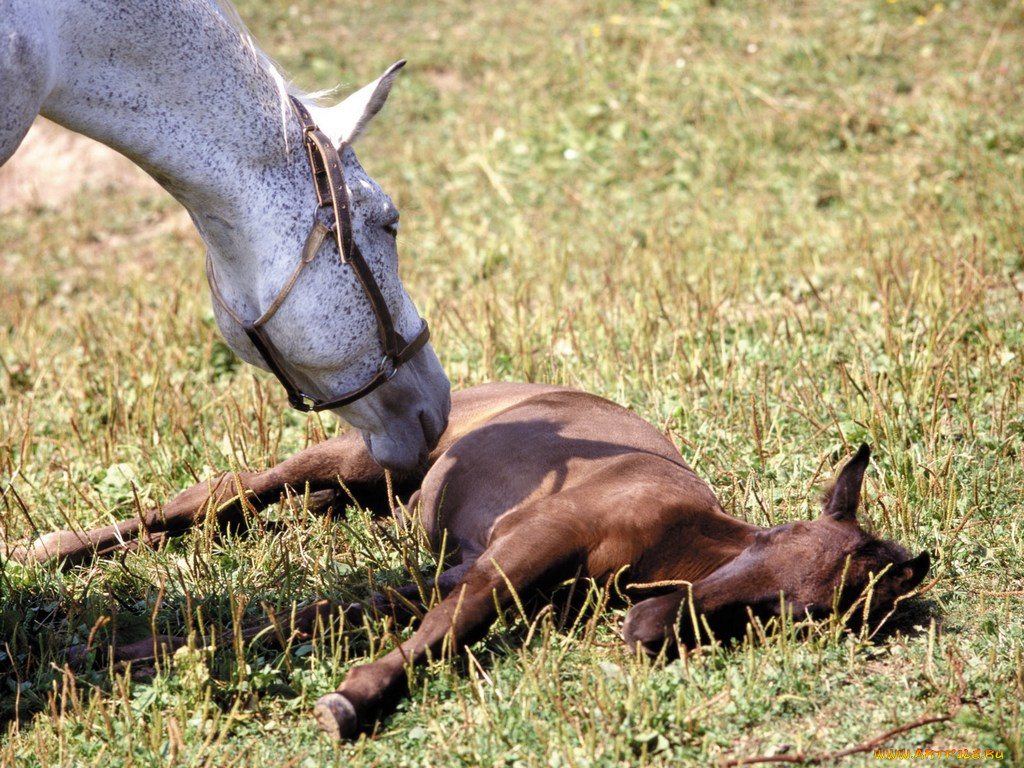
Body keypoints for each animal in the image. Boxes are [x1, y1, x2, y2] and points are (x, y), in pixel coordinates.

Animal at [9, 382, 929, 741]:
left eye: (799, 620)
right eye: (776, 592)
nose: (647, 632)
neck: (666, 534)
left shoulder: (470, 571)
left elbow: (316, 613)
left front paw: (121, 655)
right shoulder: (509, 558)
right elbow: (444, 630)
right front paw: (350, 702)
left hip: (371, 492)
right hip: (356, 458)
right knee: (218, 497)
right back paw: (47, 551)